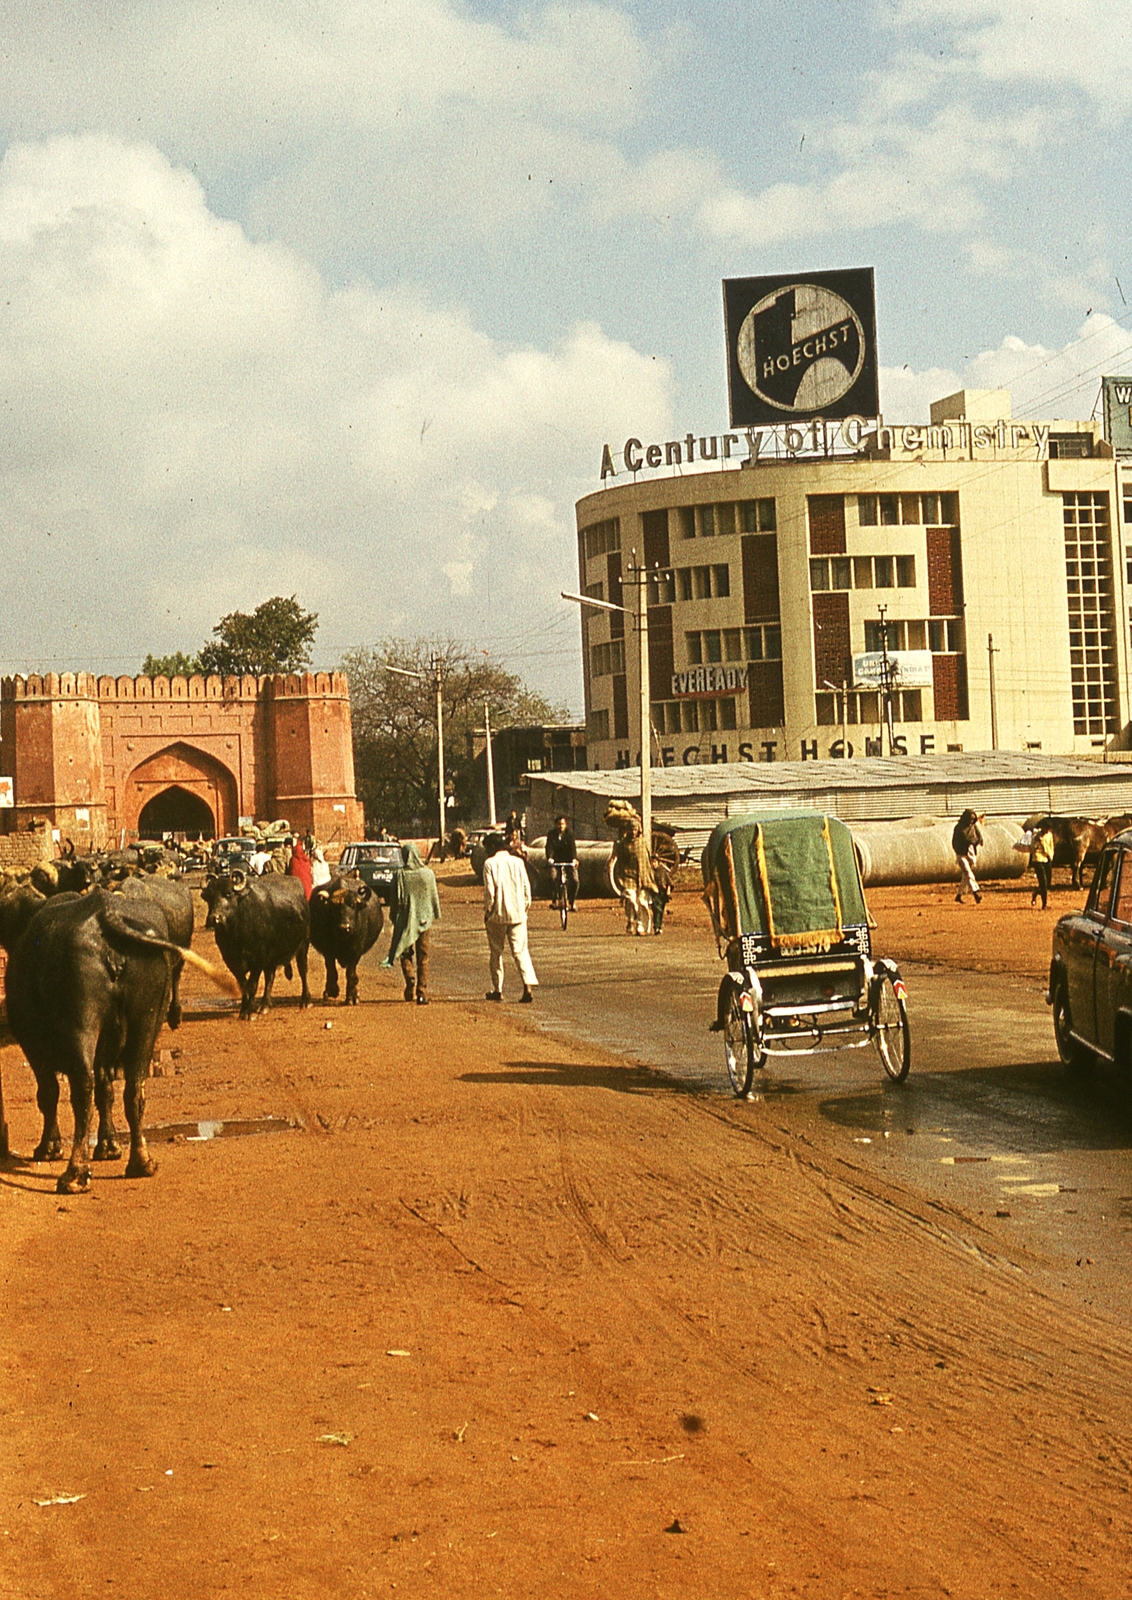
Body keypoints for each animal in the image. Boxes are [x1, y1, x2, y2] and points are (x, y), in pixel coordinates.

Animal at [3, 889, 235, 1190]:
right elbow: (107, 1093)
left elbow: (49, 1093)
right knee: (134, 1089)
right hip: (146, 1024)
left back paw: (75, 1173)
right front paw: (109, 1146)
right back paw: (141, 1162)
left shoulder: (32, 1045)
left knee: (83, 1089)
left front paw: (49, 1147)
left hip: (82, 1023)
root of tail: (105, 918)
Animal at [201, 870, 311, 1017]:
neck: (237, 934)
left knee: (303, 970)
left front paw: (248, 1012)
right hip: (271, 958)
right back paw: (265, 1005)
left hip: (303, 945)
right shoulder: (231, 961)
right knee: (270, 977)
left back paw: (305, 1001)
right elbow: (243, 985)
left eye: (228, 894)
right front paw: (244, 1008)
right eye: (208, 897)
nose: (214, 918)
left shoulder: (258, 960)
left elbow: (252, 984)